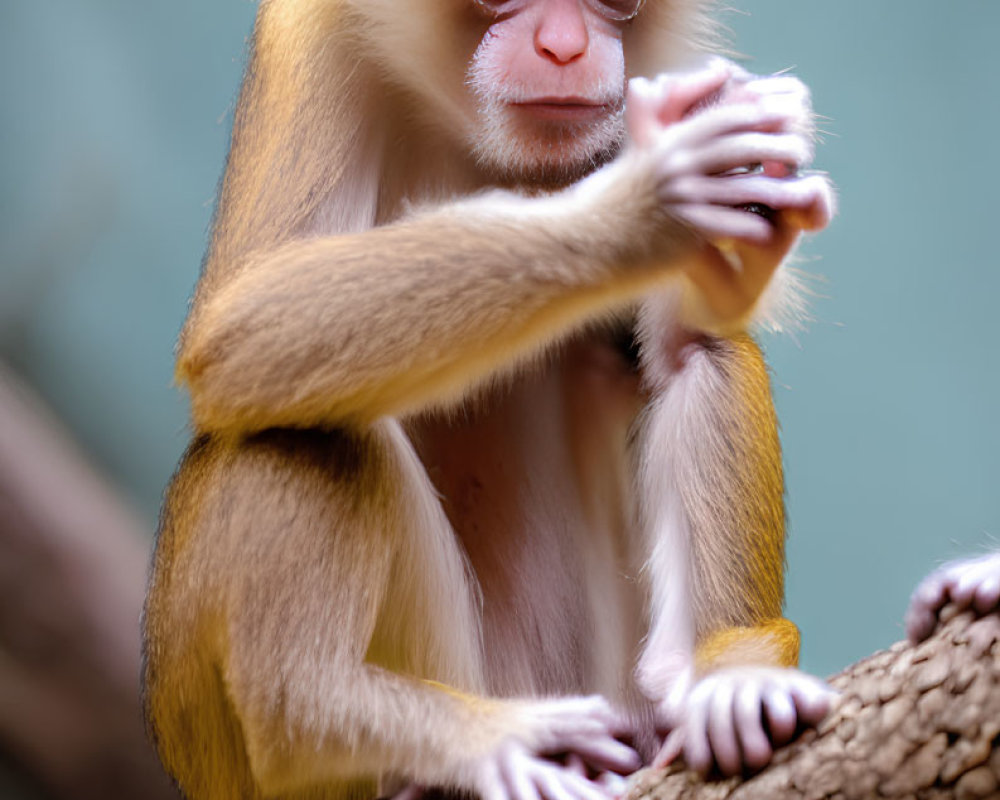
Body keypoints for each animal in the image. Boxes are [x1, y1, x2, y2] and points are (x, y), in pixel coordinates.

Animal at [143, 1, 836, 800]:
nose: (564, 48)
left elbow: (686, 342)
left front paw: (733, 678)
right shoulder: (305, 35)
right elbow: (247, 318)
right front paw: (643, 207)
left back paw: (709, 685)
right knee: (292, 422)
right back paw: (348, 724)